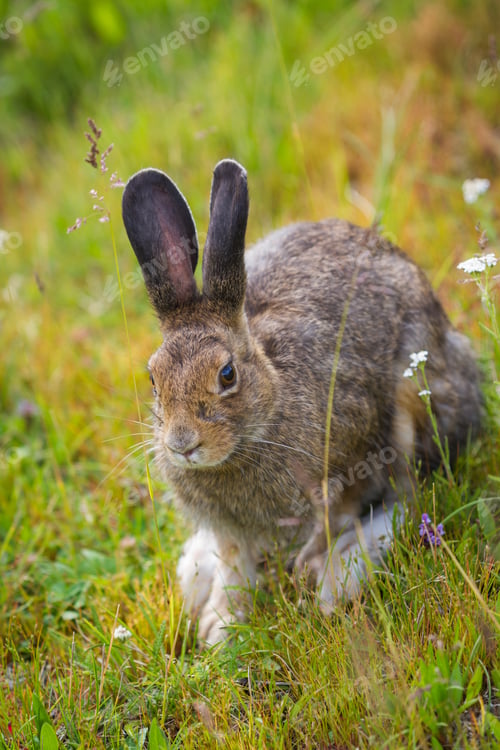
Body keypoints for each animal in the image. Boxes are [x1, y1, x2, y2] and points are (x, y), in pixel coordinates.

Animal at [122, 159, 482, 645]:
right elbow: (234, 566)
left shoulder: (350, 458)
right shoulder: (228, 530)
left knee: (412, 495)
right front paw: (221, 628)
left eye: (227, 375)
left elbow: (347, 513)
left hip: (414, 393)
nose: (182, 444)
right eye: (153, 379)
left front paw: (315, 570)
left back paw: (344, 571)